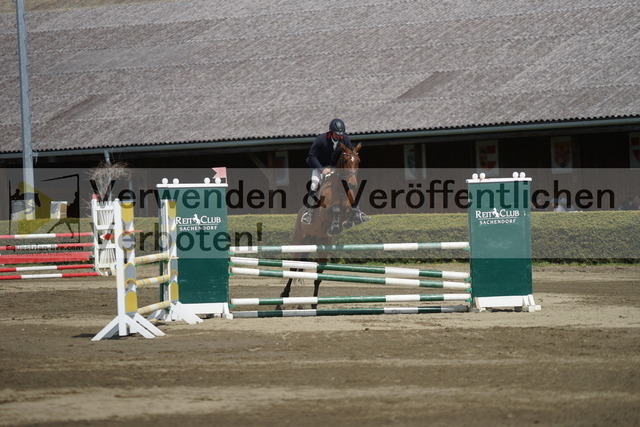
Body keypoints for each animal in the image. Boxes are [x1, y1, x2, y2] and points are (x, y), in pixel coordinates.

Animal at [279, 142, 364, 307]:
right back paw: (284, 295)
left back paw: (314, 302)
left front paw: (349, 222)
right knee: (293, 267)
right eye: (345, 160)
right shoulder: (324, 212)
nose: (352, 184)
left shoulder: (348, 207)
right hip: (299, 242)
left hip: (322, 247)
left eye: (358, 161)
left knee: (318, 276)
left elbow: (351, 211)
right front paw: (335, 226)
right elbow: (335, 209)